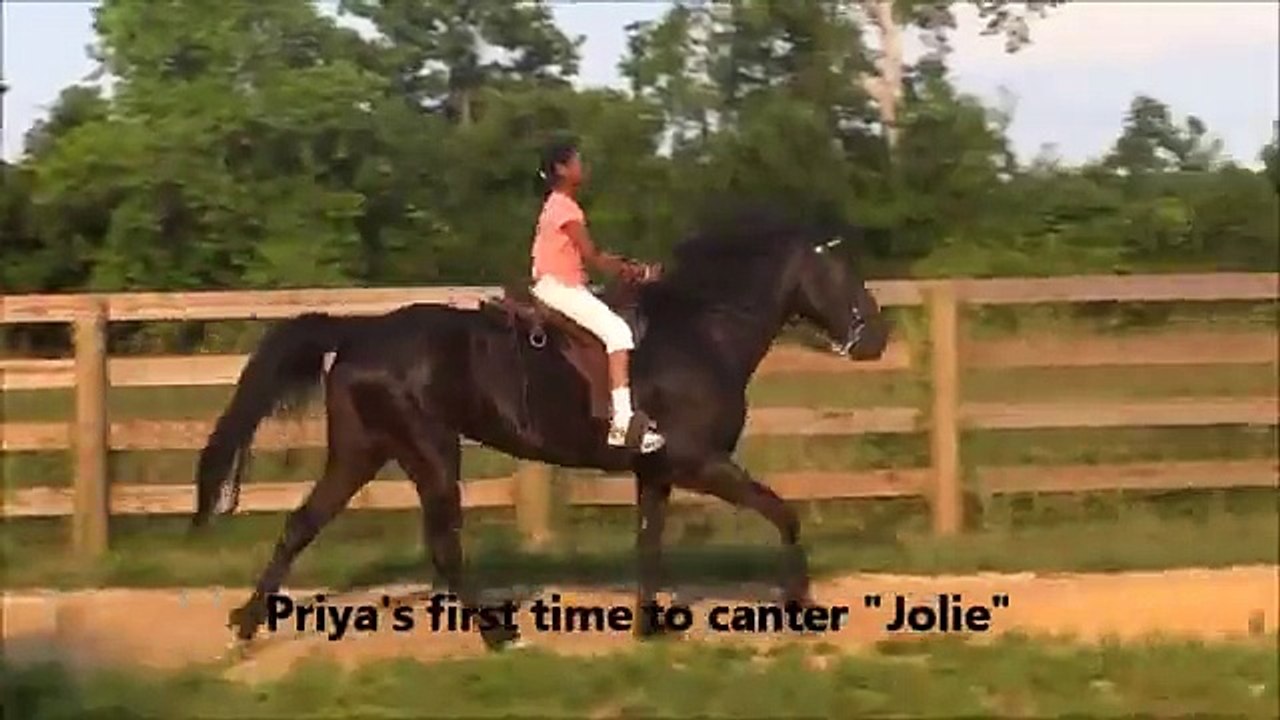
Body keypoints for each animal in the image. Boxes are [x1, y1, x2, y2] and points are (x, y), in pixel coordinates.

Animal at [191, 207, 890, 650]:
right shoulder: (699, 461)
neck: (701, 332)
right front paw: (800, 603)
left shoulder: (657, 471)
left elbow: (649, 543)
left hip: (363, 452)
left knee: (302, 524)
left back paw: (247, 623)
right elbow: (782, 512)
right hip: (431, 452)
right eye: (841, 273)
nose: (877, 338)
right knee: (442, 544)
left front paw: (650, 627)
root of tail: (360, 333)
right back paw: (499, 633)